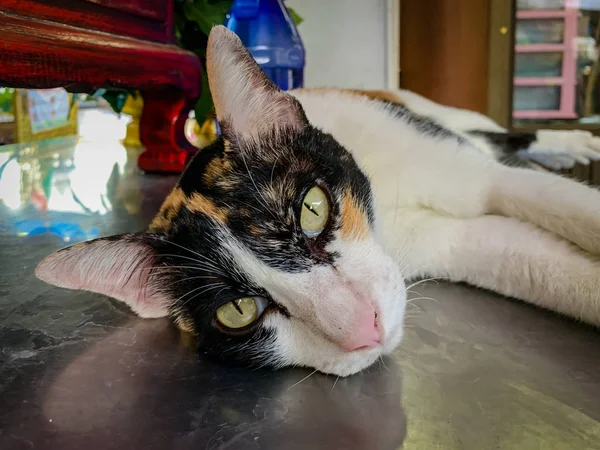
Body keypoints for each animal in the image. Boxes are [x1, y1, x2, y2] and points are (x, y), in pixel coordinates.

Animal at [35, 24, 600, 376]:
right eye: (238, 311)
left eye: (312, 208)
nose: (365, 330)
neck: (387, 215)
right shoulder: (459, 243)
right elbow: (544, 266)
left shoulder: (475, 175)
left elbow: (550, 199)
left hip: (433, 117)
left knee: (496, 135)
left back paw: (574, 141)